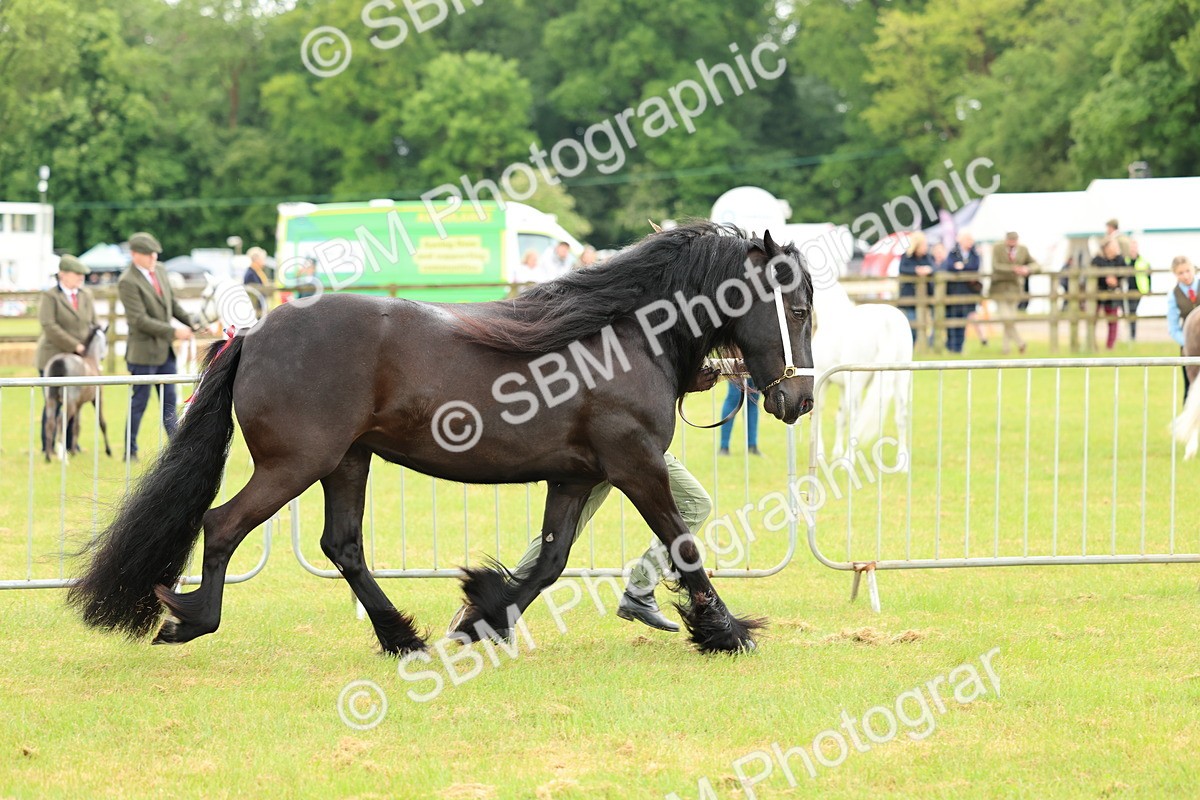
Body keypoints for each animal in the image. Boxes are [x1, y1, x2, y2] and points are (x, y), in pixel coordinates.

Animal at [43, 325, 112, 462]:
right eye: (107, 342)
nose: (103, 357)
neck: (91, 361)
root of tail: (60, 361)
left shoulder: (79, 404)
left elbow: (76, 426)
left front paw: (74, 451)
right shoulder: (97, 399)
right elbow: (102, 422)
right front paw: (108, 451)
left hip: (52, 400)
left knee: (50, 423)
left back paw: (48, 456)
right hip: (69, 404)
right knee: (60, 421)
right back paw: (62, 455)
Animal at [67, 223, 815, 656]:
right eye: (801, 307)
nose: (799, 400)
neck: (625, 336)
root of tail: (255, 331)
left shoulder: (578, 476)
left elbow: (550, 560)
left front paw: (482, 613)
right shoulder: (634, 466)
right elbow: (682, 544)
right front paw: (727, 633)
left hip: (347, 461)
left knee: (342, 546)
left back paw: (400, 636)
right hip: (296, 463)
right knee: (222, 524)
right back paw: (189, 618)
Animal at [811, 275, 912, 469]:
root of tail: (886, 322)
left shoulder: (823, 380)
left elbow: (820, 412)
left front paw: (819, 454)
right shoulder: (842, 385)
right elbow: (840, 417)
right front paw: (835, 453)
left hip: (856, 383)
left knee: (855, 417)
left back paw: (848, 460)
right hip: (901, 379)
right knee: (902, 416)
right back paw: (902, 464)